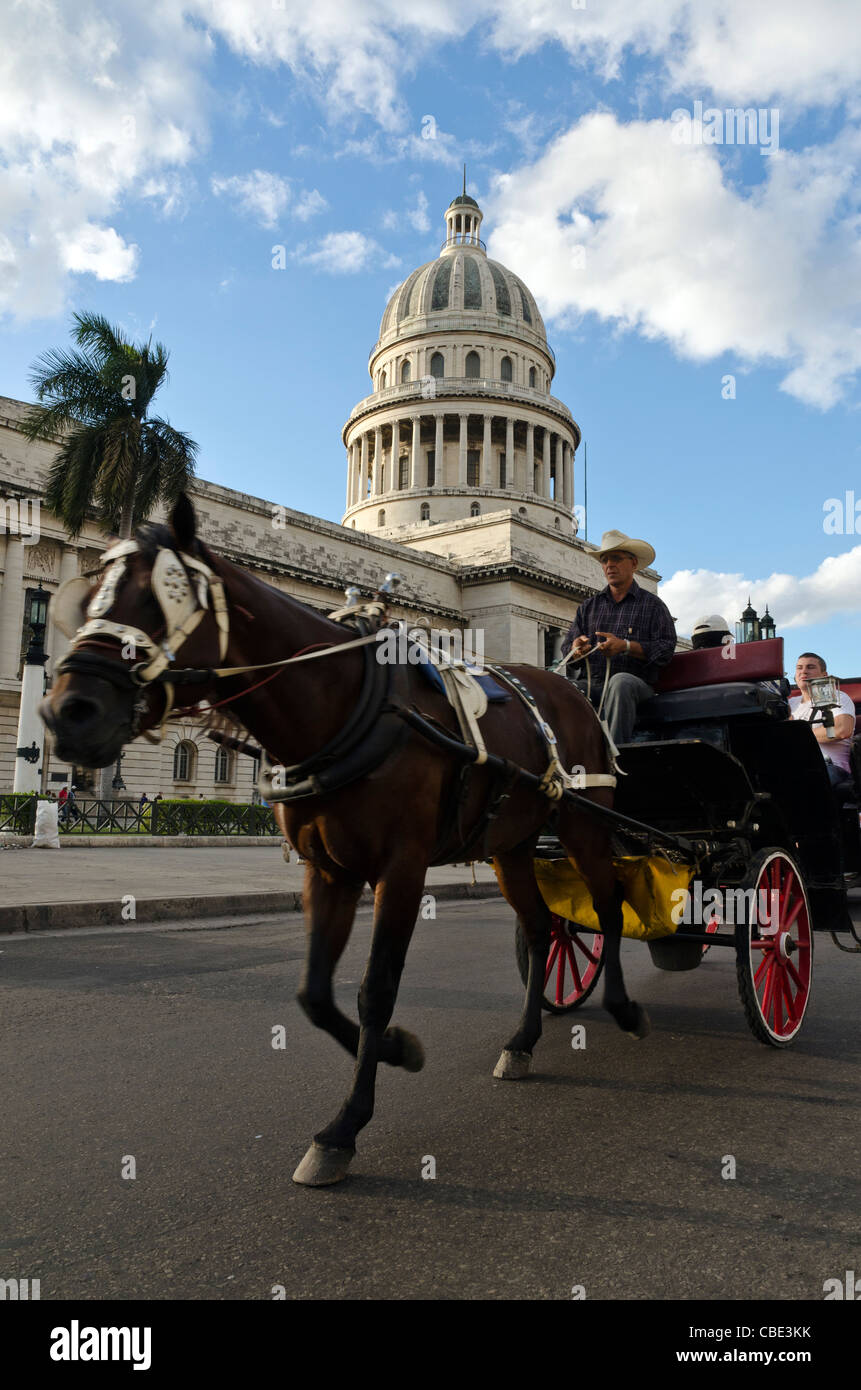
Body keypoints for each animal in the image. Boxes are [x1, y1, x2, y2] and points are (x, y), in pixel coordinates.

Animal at [42, 494, 645, 1189]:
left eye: (164, 596)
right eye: (90, 600)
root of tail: (571, 684)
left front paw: (345, 1126)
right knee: (544, 928)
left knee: (607, 907)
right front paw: (395, 1051)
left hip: (584, 827)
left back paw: (625, 1009)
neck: (344, 705)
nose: (67, 711)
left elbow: (374, 989)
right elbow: (314, 993)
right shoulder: (326, 869)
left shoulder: (402, 868)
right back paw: (522, 1042)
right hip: (512, 846)